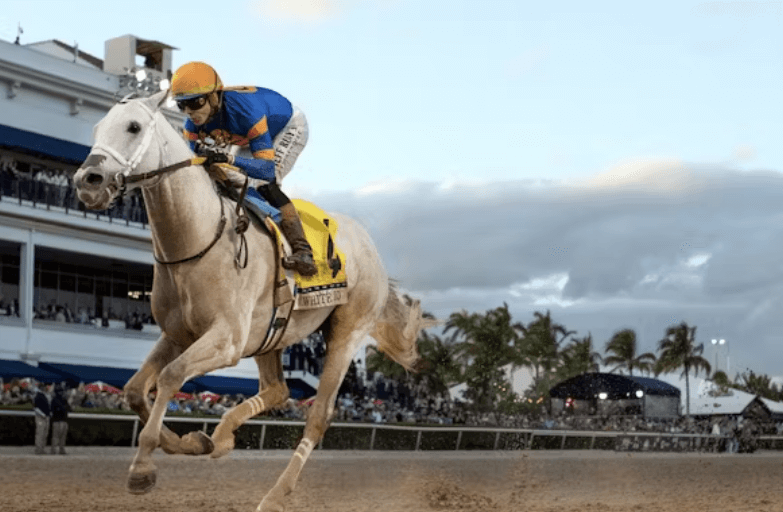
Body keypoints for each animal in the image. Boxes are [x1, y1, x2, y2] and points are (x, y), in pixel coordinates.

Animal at [72, 90, 432, 512]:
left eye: (133, 127)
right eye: (98, 127)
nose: (88, 181)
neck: (198, 238)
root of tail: (369, 246)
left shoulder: (226, 339)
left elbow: (170, 376)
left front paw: (143, 468)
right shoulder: (177, 335)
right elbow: (133, 390)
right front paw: (192, 441)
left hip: (347, 332)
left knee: (318, 416)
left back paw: (275, 494)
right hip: (271, 333)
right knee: (278, 391)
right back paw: (222, 437)